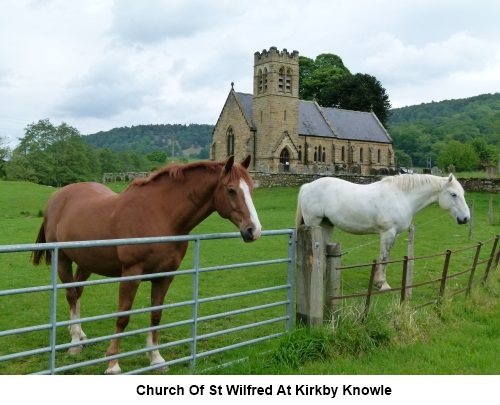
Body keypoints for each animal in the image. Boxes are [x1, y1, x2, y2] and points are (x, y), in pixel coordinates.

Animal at [32, 154, 262, 372]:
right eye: (231, 190)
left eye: (251, 189)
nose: (254, 230)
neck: (160, 215)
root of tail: (57, 197)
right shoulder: (131, 274)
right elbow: (123, 317)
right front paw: (113, 364)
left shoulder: (164, 276)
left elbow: (156, 315)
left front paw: (156, 359)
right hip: (62, 258)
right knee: (71, 294)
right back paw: (74, 343)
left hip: (86, 263)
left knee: (77, 291)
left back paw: (80, 333)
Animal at [294, 174, 470, 290]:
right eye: (453, 194)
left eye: (462, 194)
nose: (466, 218)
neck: (402, 196)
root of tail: (308, 186)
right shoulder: (388, 232)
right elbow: (384, 258)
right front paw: (383, 285)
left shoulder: (394, 234)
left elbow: (384, 258)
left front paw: (378, 282)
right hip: (313, 223)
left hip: (326, 225)